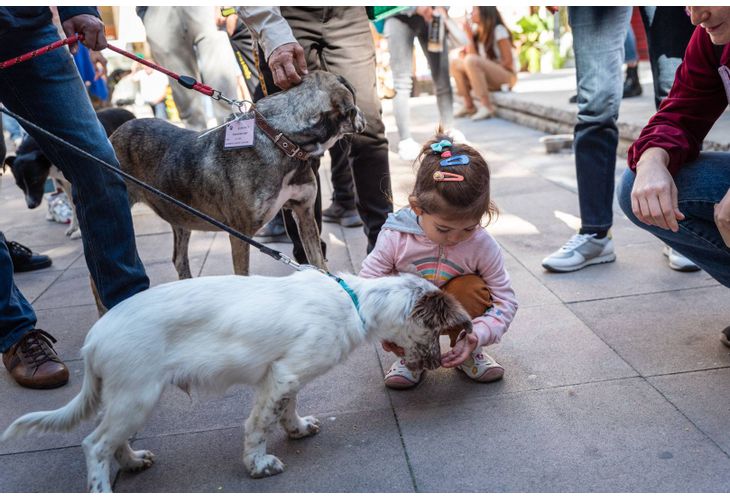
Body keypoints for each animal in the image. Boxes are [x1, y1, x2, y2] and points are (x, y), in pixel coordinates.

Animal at [2, 270, 470, 492]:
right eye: (436, 334)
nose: (437, 362)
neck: (353, 303)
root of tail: (93, 339)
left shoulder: (285, 373)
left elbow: (288, 408)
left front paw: (298, 429)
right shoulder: (281, 375)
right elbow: (259, 424)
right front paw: (258, 465)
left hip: (129, 398)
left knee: (111, 440)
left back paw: (133, 461)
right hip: (137, 394)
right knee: (94, 444)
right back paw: (103, 488)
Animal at [111, 70, 364, 280]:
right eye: (353, 96)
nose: (363, 116)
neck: (281, 139)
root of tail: (118, 130)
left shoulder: (304, 212)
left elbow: (318, 262)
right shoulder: (240, 232)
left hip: (180, 214)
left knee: (179, 259)